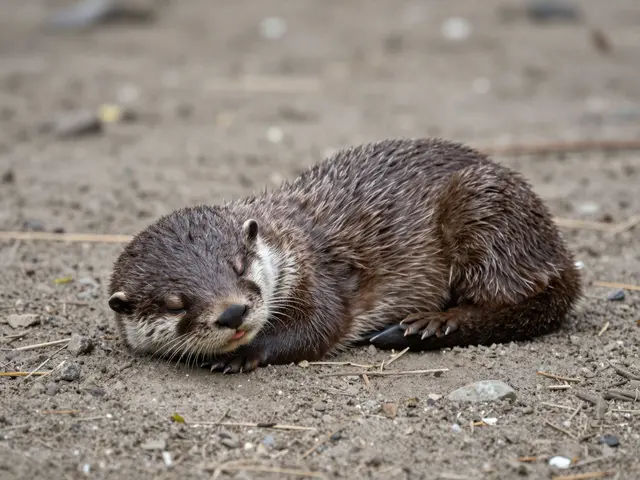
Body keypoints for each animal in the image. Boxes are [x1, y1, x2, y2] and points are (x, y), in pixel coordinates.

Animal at [107, 138, 582, 374]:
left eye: (239, 267)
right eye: (176, 304)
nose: (232, 312)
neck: (288, 238)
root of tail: (557, 248)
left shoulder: (318, 275)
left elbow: (321, 326)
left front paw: (242, 355)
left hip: (481, 205)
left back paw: (432, 324)